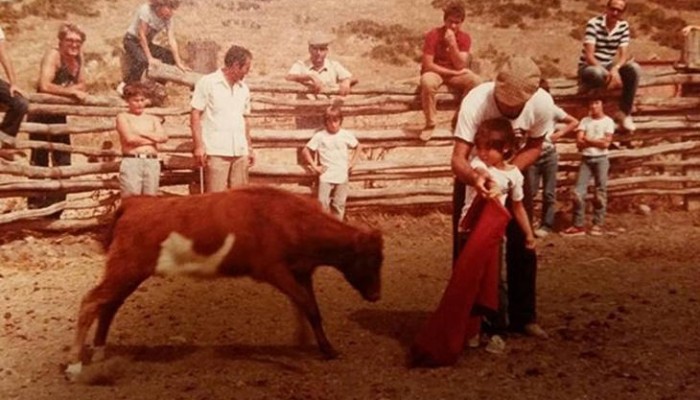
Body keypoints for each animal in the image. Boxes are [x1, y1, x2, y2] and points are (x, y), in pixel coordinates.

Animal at [67, 186, 382, 376]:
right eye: (370, 259)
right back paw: (75, 364)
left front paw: (316, 345)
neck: (293, 222)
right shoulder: (274, 270)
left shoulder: (302, 273)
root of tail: (134, 203)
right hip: (125, 269)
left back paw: (99, 352)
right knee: (91, 302)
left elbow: (309, 308)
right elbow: (306, 305)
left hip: (127, 273)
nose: (376, 296)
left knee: (109, 306)